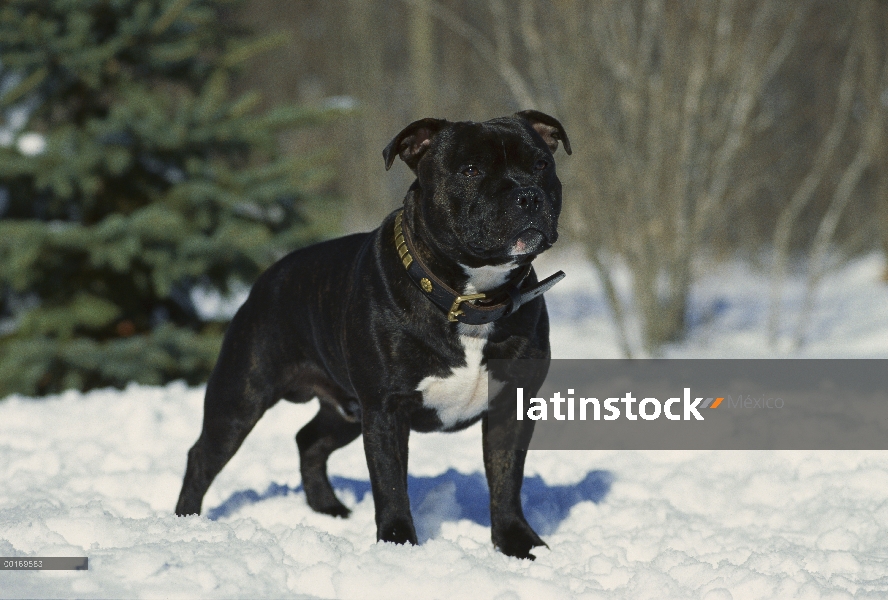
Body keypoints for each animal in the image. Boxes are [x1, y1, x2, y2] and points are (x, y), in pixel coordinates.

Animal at [177, 110, 572, 560]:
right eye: (471, 170)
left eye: (541, 165)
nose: (527, 196)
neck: (471, 297)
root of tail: (266, 278)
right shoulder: (385, 410)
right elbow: (391, 485)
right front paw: (399, 545)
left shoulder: (510, 406)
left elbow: (506, 481)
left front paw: (518, 543)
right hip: (241, 397)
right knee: (202, 456)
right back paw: (185, 521)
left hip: (347, 411)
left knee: (308, 440)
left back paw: (328, 509)